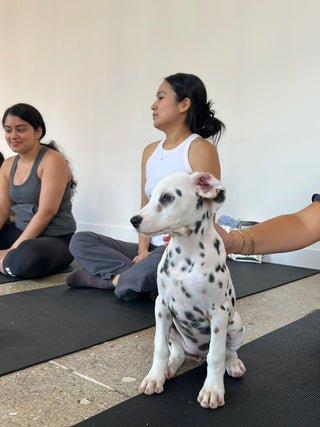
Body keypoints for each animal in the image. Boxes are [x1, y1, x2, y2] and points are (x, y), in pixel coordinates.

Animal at [130, 171, 245, 412]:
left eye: (167, 197)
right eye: (151, 196)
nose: (134, 220)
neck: (187, 254)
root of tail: (196, 354)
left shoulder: (219, 314)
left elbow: (216, 355)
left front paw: (212, 390)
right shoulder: (162, 306)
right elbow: (160, 348)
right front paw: (154, 377)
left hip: (236, 324)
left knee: (229, 350)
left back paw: (233, 364)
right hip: (174, 330)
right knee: (176, 352)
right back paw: (169, 368)